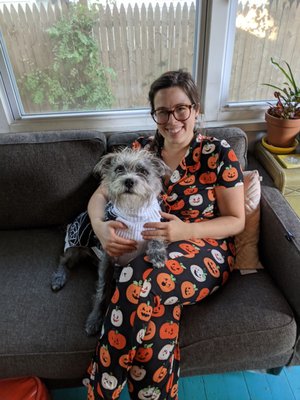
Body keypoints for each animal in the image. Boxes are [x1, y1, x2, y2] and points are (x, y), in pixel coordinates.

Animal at [50, 148, 170, 336]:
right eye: (119, 169)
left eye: (143, 171)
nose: (129, 181)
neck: (133, 212)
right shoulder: (107, 257)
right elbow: (102, 291)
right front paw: (94, 319)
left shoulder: (153, 225)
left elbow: (156, 237)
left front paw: (157, 255)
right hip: (77, 241)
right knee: (63, 259)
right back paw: (58, 277)